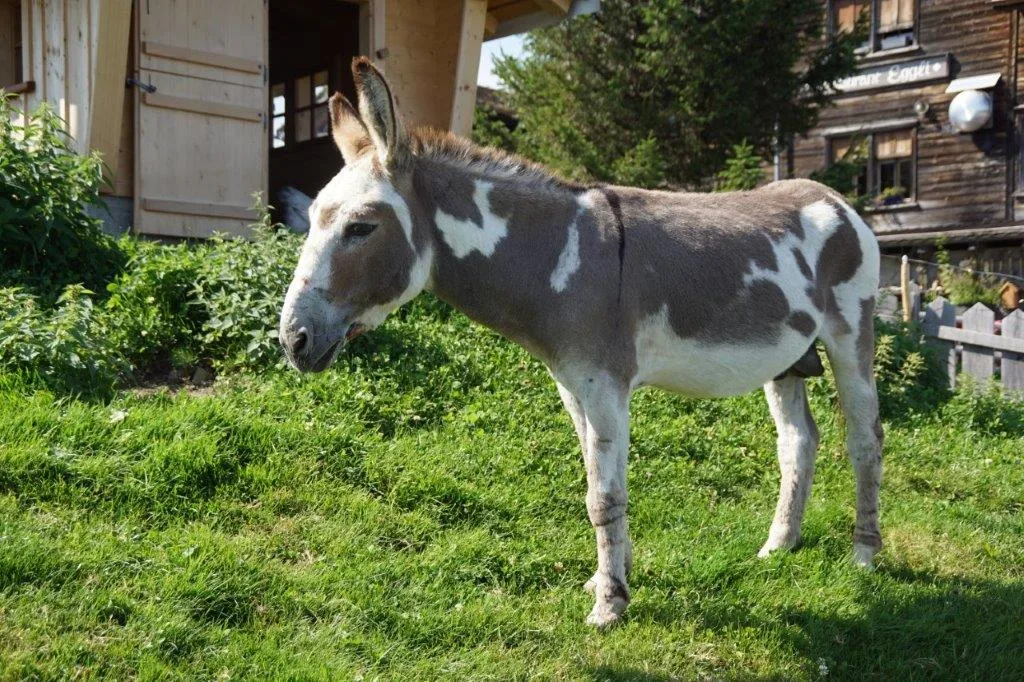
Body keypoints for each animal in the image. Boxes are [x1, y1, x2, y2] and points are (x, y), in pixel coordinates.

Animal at [278, 57, 883, 628]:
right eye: (311, 220)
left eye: (360, 227)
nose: (292, 340)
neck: (557, 257)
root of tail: (832, 198)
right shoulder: (572, 385)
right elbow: (597, 484)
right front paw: (611, 578)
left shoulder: (604, 384)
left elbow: (604, 493)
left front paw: (610, 605)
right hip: (787, 358)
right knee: (798, 441)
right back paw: (780, 545)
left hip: (851, 333)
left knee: (865, 438)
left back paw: (864, 555)